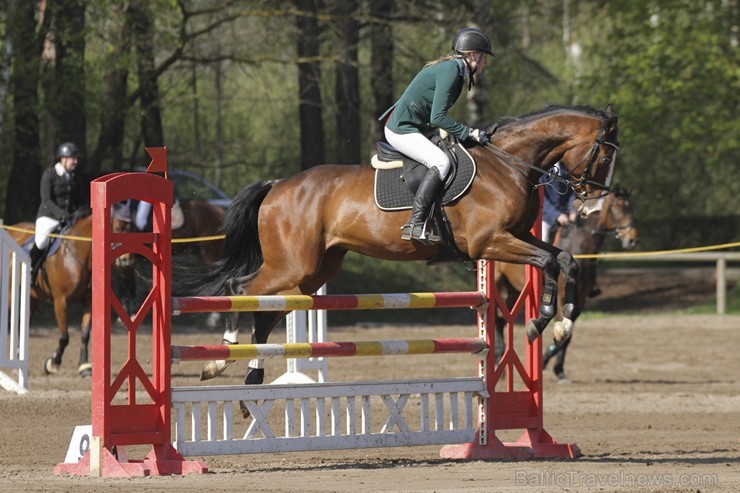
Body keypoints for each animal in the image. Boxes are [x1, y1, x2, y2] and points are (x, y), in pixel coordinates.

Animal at [186, 103, 620, 400]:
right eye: (604, 155)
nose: (592, 205)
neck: (508, 165)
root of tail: (278, 186)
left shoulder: (514, 236)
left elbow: (564, 260)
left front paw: (560, 322)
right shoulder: (491, 241)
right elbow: (548, 261)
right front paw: (541, 320)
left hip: (313, 272)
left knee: (265, 312)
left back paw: (253, 378)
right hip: (291, 266)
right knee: (241, 290)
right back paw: (220, 359)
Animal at [494, 184, 640, 380]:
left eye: (630, 208)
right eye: (618, 208)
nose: (632, 240)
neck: (580, 246)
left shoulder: (581, 298)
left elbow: (568, 335)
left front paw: (559, 369)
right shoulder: (561, 297)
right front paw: (545, 361)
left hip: (513, 290)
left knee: (502, 320)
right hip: (499, 284)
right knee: (497, 320)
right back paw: (499, 365)